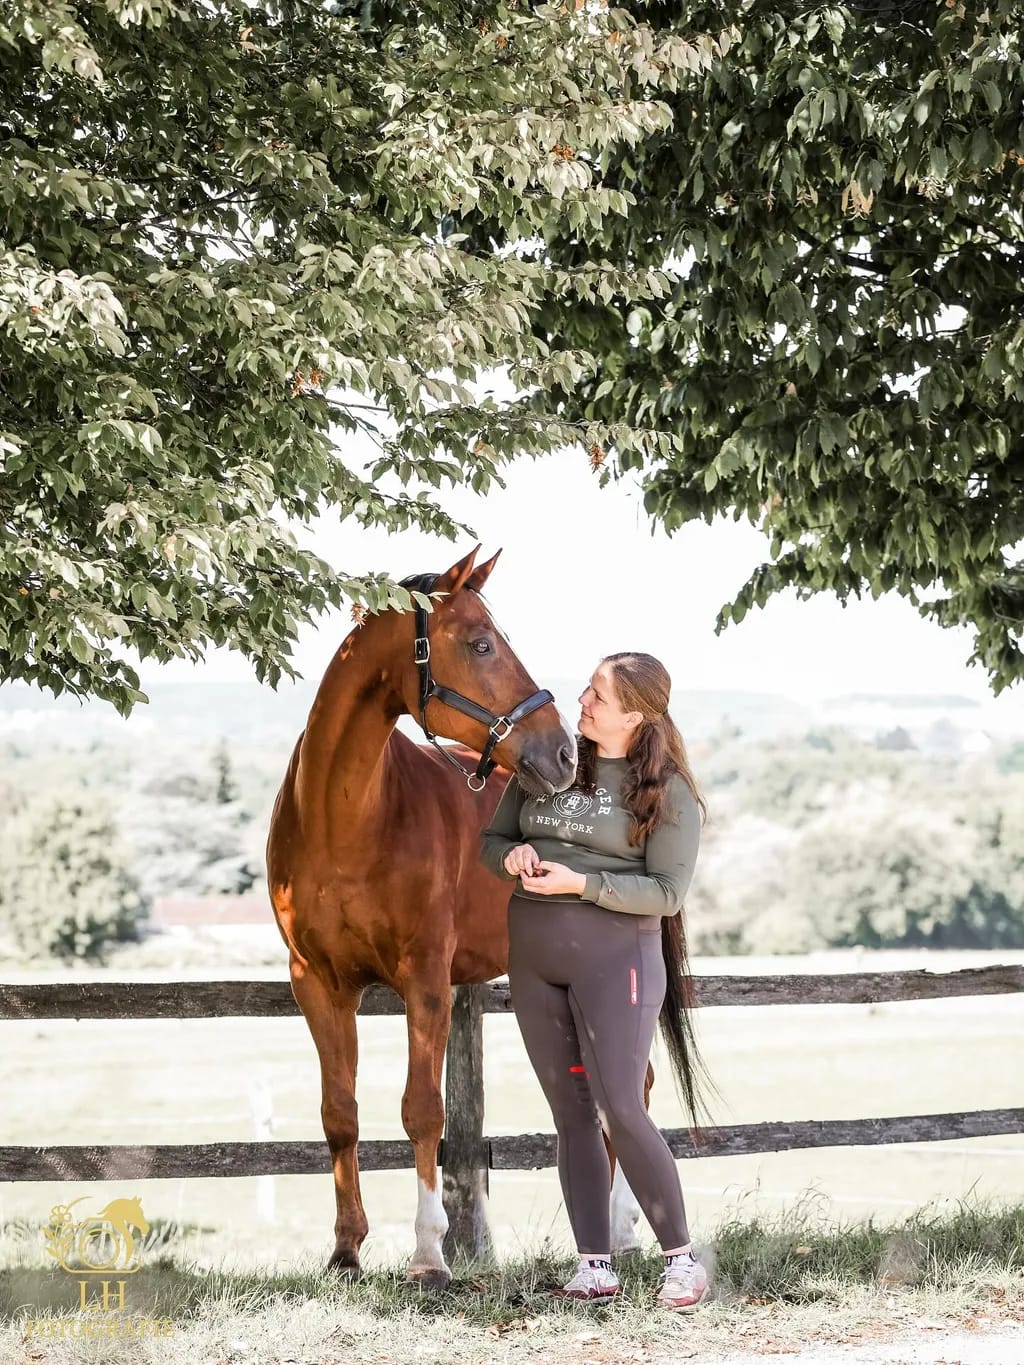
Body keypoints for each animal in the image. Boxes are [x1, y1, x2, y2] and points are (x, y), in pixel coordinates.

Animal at [267, 545, 581, 1287]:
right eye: (481, 642)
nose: (563, 752)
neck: (346, 822)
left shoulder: (427, 982)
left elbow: (422, 1113)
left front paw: (429, 1253)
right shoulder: (317, 983)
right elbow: (340, 1114)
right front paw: (346, 1250)